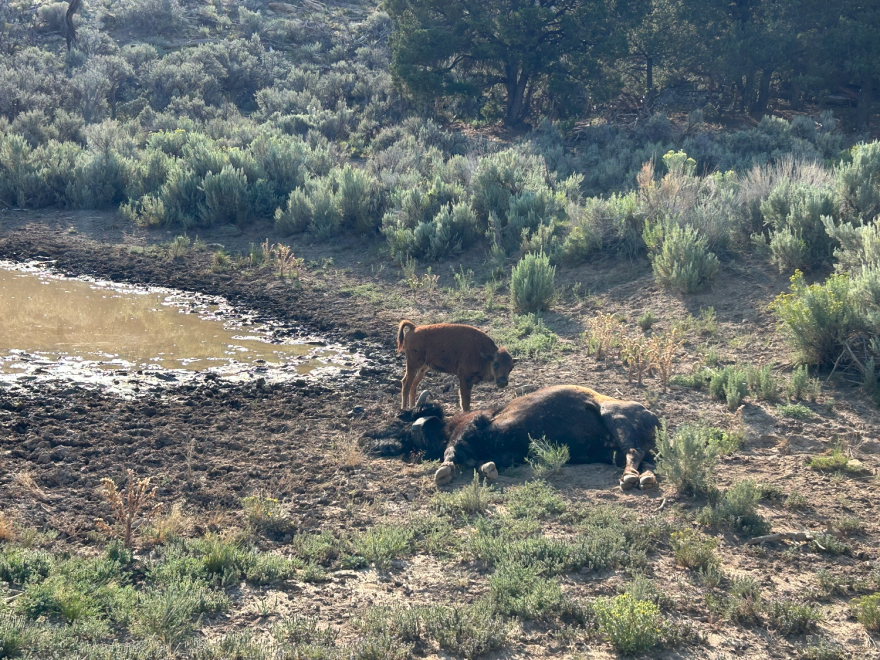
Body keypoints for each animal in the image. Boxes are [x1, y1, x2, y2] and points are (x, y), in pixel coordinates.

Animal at [362, 385, 658, 490]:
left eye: (411, 416)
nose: (414, 430)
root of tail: (650, 413)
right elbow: (484, 462)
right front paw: (488, 469)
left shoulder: (471, 428)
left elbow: (452, 452)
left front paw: (443, 471)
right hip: (614, 449)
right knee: (643, 459)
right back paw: (645, 479)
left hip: (616, 418)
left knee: (633, 453)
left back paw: (631, 478)